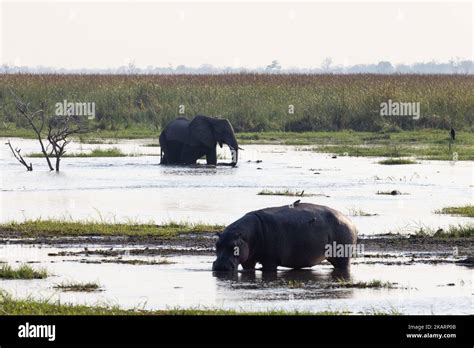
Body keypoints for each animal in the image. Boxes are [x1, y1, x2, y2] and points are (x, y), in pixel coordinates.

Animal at [213, 201, 358, 272]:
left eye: (234, 246)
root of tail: (349, 221)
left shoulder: (270, 260)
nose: (220, 266)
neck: (245, 236)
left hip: (343, 255)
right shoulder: (248, 260)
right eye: (217, 245)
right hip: (333, 257)